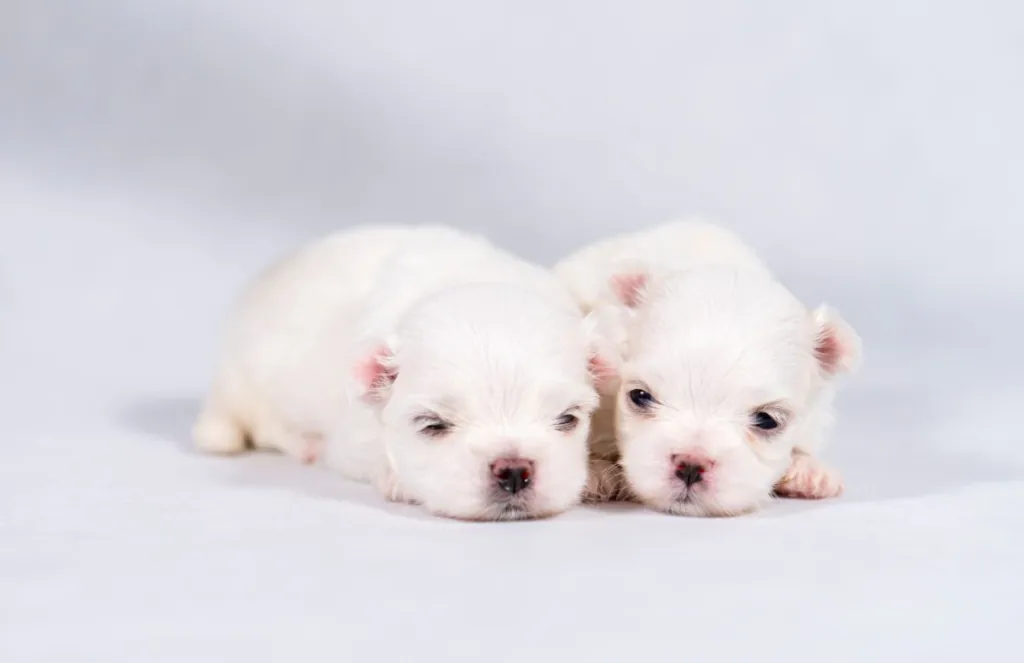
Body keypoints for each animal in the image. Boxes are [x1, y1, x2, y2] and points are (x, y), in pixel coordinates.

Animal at [192, 225, 610, 520]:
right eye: (432, 425)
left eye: (567, 419)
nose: (514, 470)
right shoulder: (351, 438)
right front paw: (397, 479)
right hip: (248, 380)